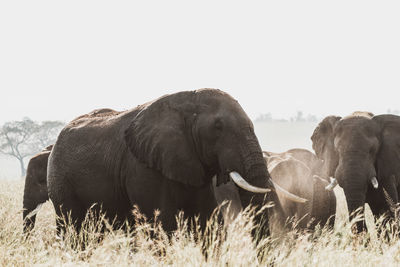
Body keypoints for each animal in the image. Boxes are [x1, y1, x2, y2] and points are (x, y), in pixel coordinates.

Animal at [47, 89, 304, 236]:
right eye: (218, 128)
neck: (186, 102)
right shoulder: (141, 168)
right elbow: (163, 225)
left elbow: (208, 224)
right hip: (60, 183)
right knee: (74, 232)